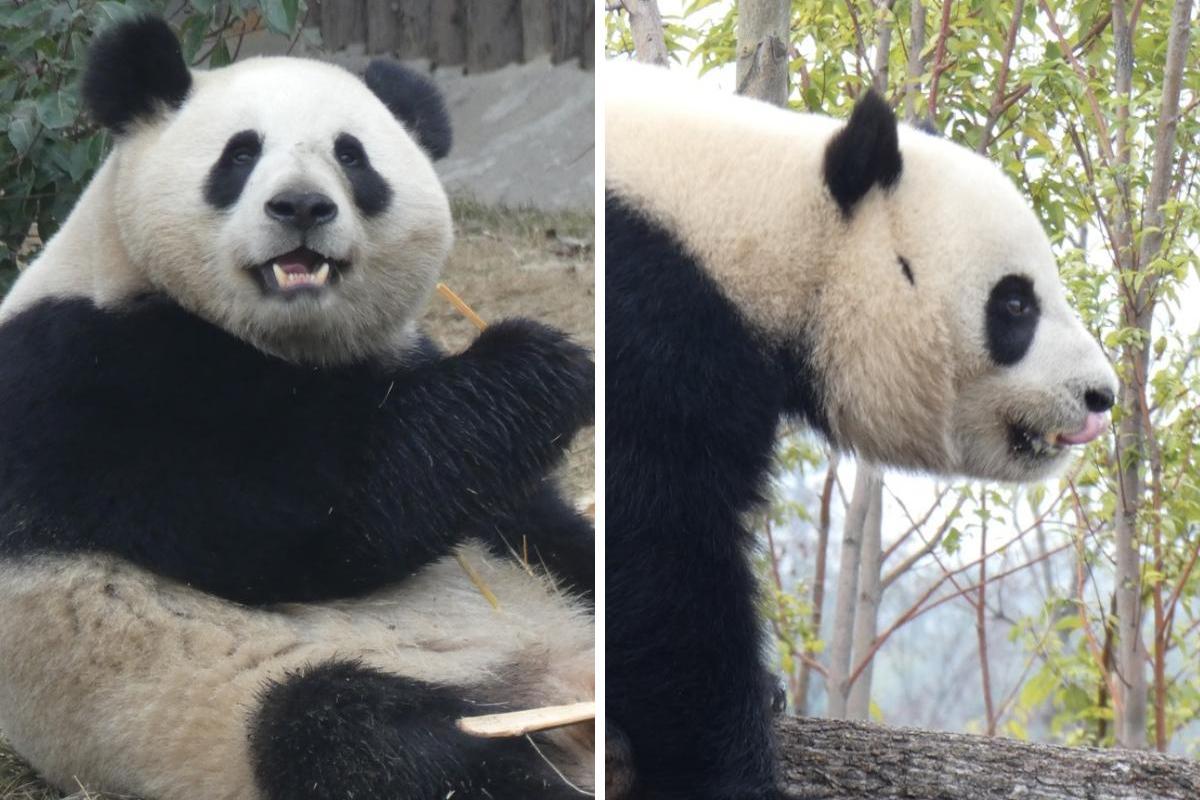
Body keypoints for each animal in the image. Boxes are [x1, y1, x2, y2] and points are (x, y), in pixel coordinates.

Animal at [0, 17, 595, 800]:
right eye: (240, 152)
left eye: (352, 155)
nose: (302, 208)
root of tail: (553, 684)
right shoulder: (88, 381)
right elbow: (315, 516)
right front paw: (543, 365)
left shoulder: (392, 359)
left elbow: (522, 514)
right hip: (226, 697)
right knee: (356, 736)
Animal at [605, 62, 1117, 799]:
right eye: (1016, 303)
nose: (1100, 394)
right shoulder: (649, 315)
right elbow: (656, 553)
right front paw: (730, 763)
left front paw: (764, 692)